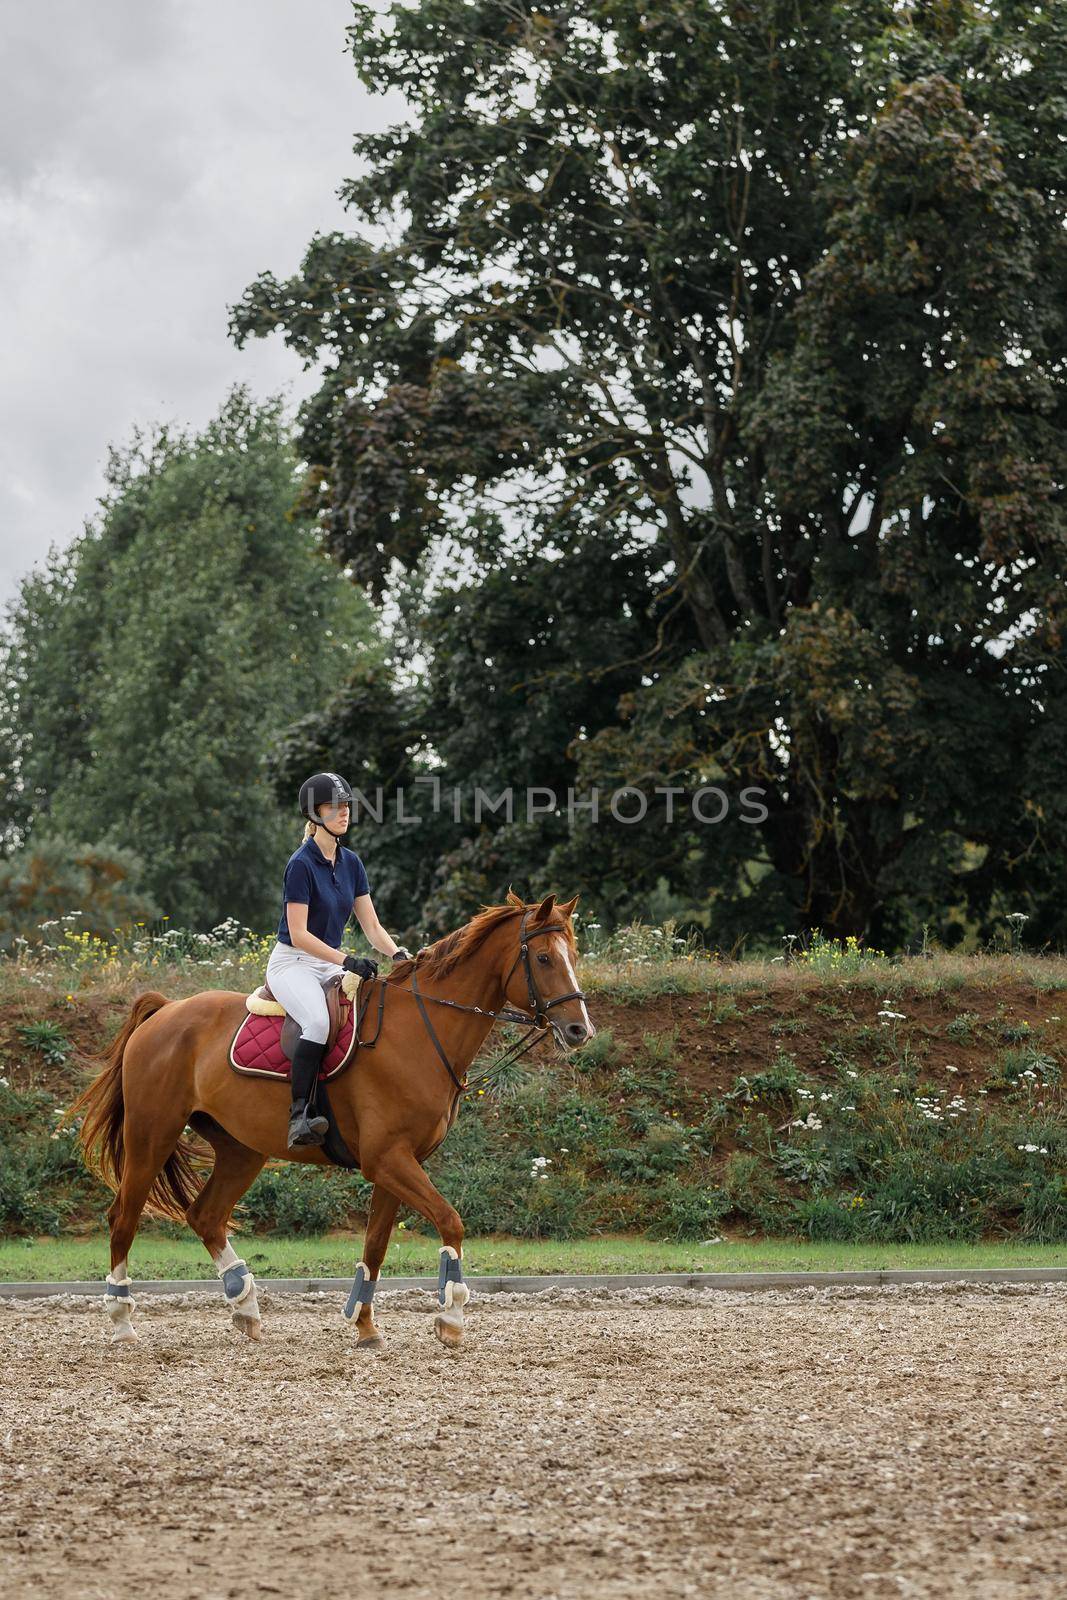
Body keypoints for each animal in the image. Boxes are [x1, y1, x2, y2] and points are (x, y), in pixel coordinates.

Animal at [75, 889, 591, 1350]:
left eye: (573, 955)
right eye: (543, 958)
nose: (579, 1030)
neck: (421, 1031)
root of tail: (164, 1012)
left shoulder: (396, 1165)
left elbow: (376, 1247)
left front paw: (364, 1325)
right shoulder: (387, 1160)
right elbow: (451, 1221)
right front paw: (451, 1318)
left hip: (241, 1149)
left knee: (205, 1216)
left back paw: (246, 1308)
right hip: (152, 1135)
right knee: (123, 1218)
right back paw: (122, 1321)